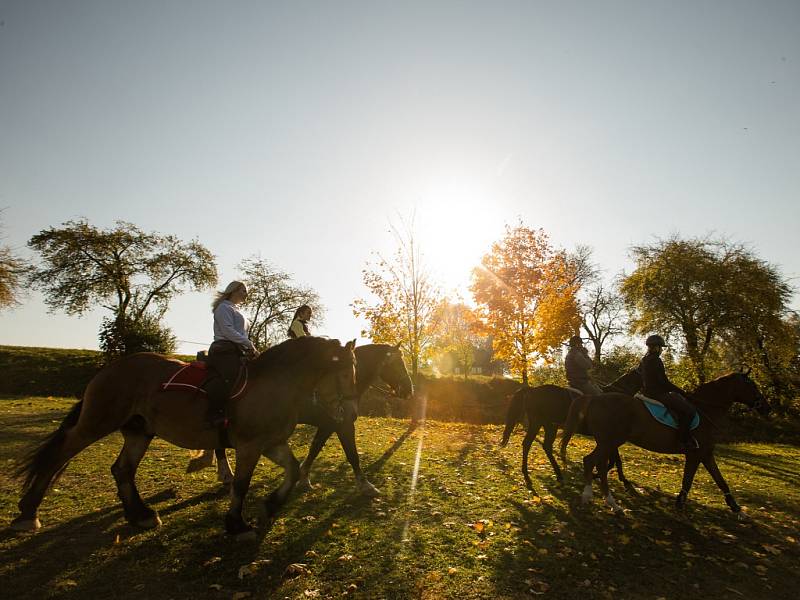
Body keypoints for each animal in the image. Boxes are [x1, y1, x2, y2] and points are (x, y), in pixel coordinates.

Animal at [10, 338, 356, 540]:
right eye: (344, 373)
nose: (349, 412)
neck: (274, 384)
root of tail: (110, 369)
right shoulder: (249, 446)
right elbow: (242, 484)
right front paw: (237, 524)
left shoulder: (270, 443)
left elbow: (293, 469)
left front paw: (271, 505)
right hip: (96, 423)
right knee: (59, 455)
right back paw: (28, 513)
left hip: (139, 431)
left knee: (122, 469)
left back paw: (141, 515)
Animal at [188, 342, 412, 496]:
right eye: (397, 364)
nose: (409, 390)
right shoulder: (343, 424)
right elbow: (352, 454)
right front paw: (366, 485)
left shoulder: (328, 424)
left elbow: (315, 448)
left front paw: (304, 477)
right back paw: (226, 475)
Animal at [500, 370, 644, 492]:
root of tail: (532, 390)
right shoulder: (609, 438)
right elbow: (615, 460)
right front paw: (620, 479)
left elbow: (614, 459)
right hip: (540, 424)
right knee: (531, 444)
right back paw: (532, 474)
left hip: (548, 426)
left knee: (541, 446)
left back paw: (555, 474)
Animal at [568, 370, 768, 516]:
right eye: (752, 385)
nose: (766, 407)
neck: (705, 409)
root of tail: (595, 397)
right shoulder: (695, 454)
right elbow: (688, 480)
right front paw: (680, 503)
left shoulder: (706, 453)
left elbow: (720, 480)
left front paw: (736, 507)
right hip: (610, 440)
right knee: (591, 461)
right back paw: (598, 499)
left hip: (606, 441)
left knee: (598, 464)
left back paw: (607, 501)